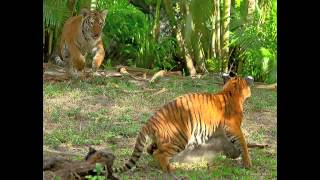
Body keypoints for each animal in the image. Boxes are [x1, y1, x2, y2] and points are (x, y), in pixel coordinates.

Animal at [114, 74, 254, 175]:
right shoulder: (234, 127)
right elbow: (243, 143)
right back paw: (170, 169)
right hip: (180, 138)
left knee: (150, 149)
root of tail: (150, 121)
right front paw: (248, 163)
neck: (231, 91)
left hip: (162, 140)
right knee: (159, 153)